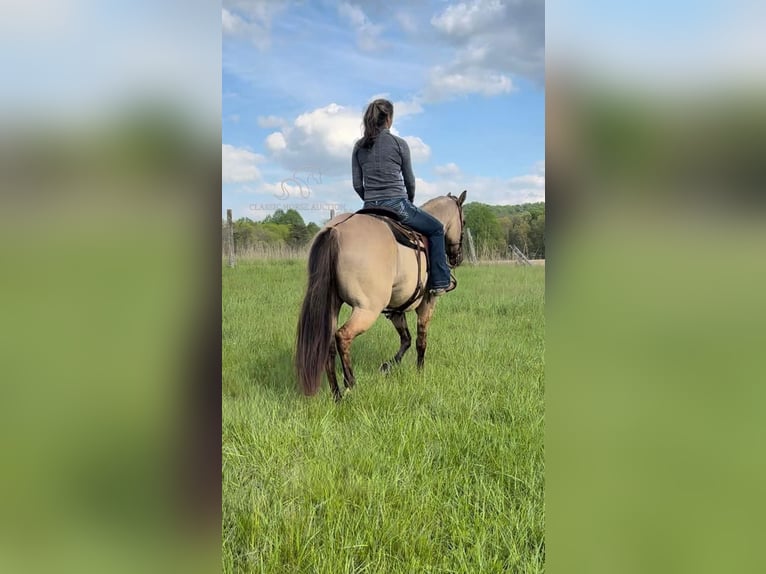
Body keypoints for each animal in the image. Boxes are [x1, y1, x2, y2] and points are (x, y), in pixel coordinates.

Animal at [296, 191, 468, 402]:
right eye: (464, 221)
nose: (458, 257)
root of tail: (335, 230)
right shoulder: (427, 304)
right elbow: (420, 341)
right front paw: (420, 372)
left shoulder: (396, 310)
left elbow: (406, 339)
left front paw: (387, 366)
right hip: (367, 309)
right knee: (343, 337)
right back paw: (350, 384)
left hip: (332, 306)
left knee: (329, 345)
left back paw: (337, 394)